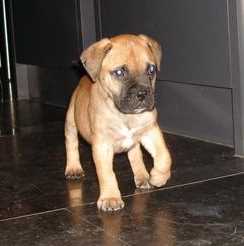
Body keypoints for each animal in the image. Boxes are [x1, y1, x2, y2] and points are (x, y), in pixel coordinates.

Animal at [64, 34, 172, 211]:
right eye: (120, 72)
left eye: (151, 70)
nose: (142, 94)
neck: (126, 116)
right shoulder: (103, 145)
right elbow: (107, 173)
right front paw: (110, 198)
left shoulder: (150, 131)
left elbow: (164, 155)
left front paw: (158, 177)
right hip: (71, 121)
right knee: (71, 144)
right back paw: (73, 168)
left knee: (135, 154)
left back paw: (143, 176)